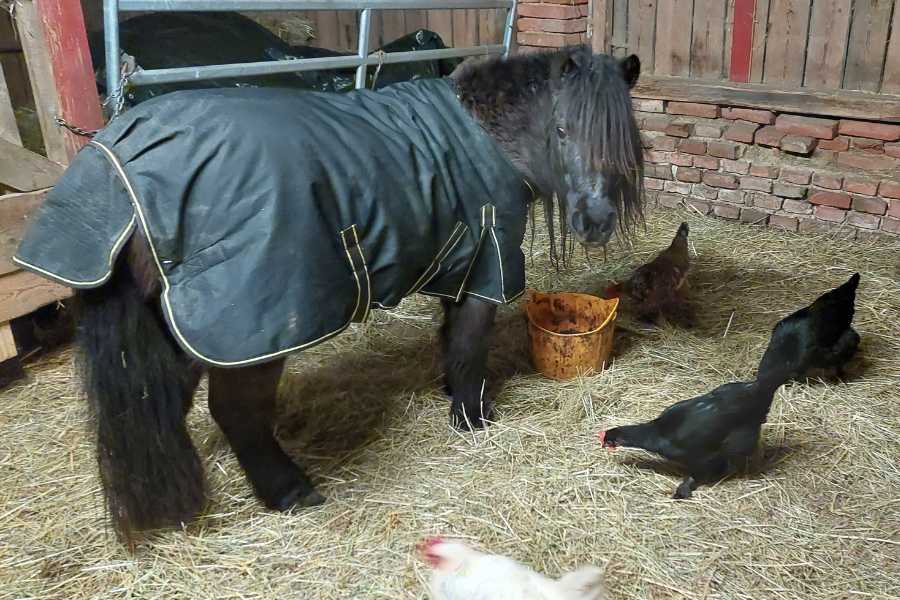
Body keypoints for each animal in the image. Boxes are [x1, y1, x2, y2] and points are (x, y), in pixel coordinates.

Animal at [37, 48, 640, 544]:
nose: (596, 221)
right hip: (250, 337)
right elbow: (470, 347)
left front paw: (451, 392)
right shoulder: (484, 268)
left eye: (624, 138)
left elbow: (450, 340)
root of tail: (122, 169)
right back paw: (290, 490)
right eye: (561, 130)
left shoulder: (458, 264)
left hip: (181, 329)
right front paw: (472, 417)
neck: (487, 138)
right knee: (234, 412)